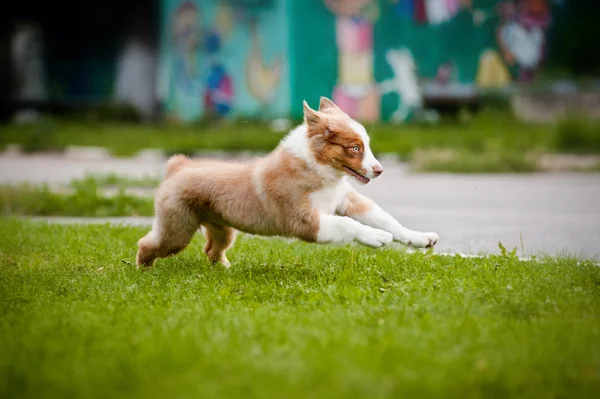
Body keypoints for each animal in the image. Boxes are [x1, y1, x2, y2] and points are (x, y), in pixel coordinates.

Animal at [137, 97, 440, 268]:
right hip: (177, 228)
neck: (321, 171)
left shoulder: (346, 199)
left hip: (222, 227)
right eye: (354, 148)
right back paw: (143, 270)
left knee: (212, 248)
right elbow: (347, 224)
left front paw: (420, 238)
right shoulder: (304, 220)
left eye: (366, 145)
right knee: (148, 243)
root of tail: (178, 166)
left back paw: (224, 269)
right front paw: (376, 238)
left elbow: (386, 218)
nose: (379, 170)